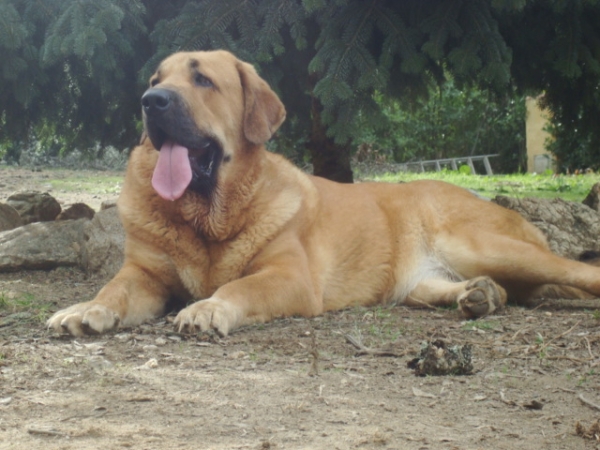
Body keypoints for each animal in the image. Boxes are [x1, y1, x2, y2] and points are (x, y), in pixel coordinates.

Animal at [48, 51, 600, 336]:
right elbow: (113, 289)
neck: (208, 216)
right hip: (422, 281)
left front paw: (208, 307)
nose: (151, 101)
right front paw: (84, 309)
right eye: (155, 78)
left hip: (480, 244)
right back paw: (481, 295)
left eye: (203, 79)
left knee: (576, 272)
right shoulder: (144, 275)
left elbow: (238, 288)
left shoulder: (289, 277)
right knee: (472, 288)